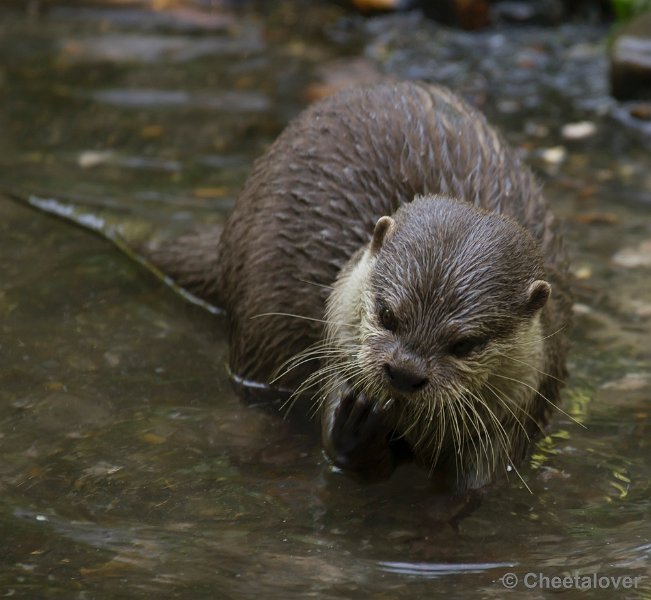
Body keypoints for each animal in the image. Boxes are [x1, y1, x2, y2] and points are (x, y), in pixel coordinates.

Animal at [150, 81, 572, 492]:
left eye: (464, 344)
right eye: (387, 315)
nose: (404, 371)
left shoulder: (516, 414)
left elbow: (474, 486)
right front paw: (354, 429)